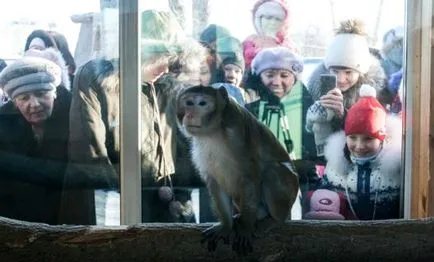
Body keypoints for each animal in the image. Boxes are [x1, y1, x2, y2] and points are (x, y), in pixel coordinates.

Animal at [175, 85, 300, 255]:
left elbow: (250, 177)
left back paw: (274, 220)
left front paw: (246, 228)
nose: (190, 114)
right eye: (188, 103)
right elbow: (215, 182)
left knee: (272, 171)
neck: (215, 130)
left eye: (202, 103)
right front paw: (226, 226)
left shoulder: (238, 131)